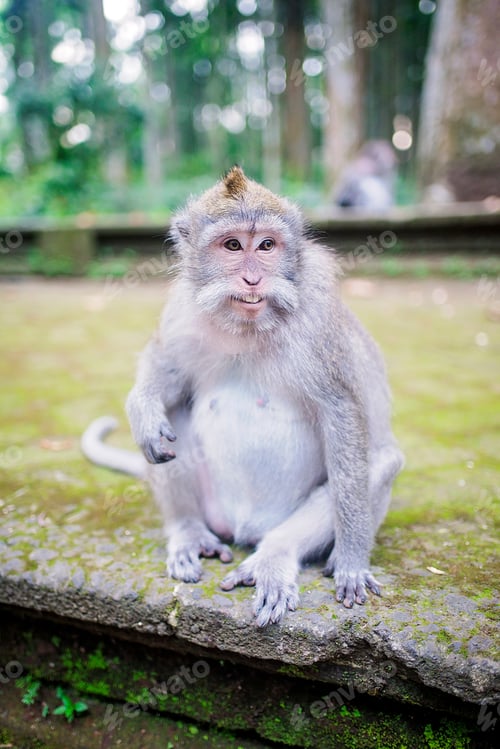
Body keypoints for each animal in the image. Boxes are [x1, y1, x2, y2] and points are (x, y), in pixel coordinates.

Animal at [82, 166, 404, 627]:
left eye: (267, 245)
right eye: (233, 245)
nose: (253, 279)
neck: (249, 326)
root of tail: (245, 529)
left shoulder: (318, 324)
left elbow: (342, 414)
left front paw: (353, 559)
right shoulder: (184, 310)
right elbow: (166, 367)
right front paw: (142, 408)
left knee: (376, 462)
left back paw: (273, 558)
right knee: (174, 412)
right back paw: (188, 531)